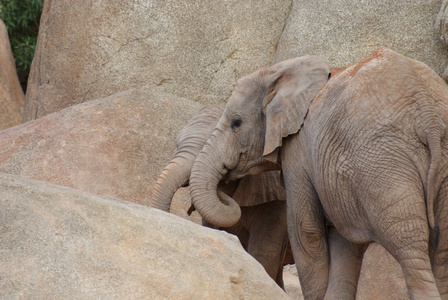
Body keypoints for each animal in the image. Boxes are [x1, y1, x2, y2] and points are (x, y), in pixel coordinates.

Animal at [189, 49, 448, 300]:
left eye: (236, 123)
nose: (225, 182)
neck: (280, 72)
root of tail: (427, 114)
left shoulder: (298, 150)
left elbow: (306, 231)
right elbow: (341, 239)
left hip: (384, 164)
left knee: (408, 241)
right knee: (441, 247)